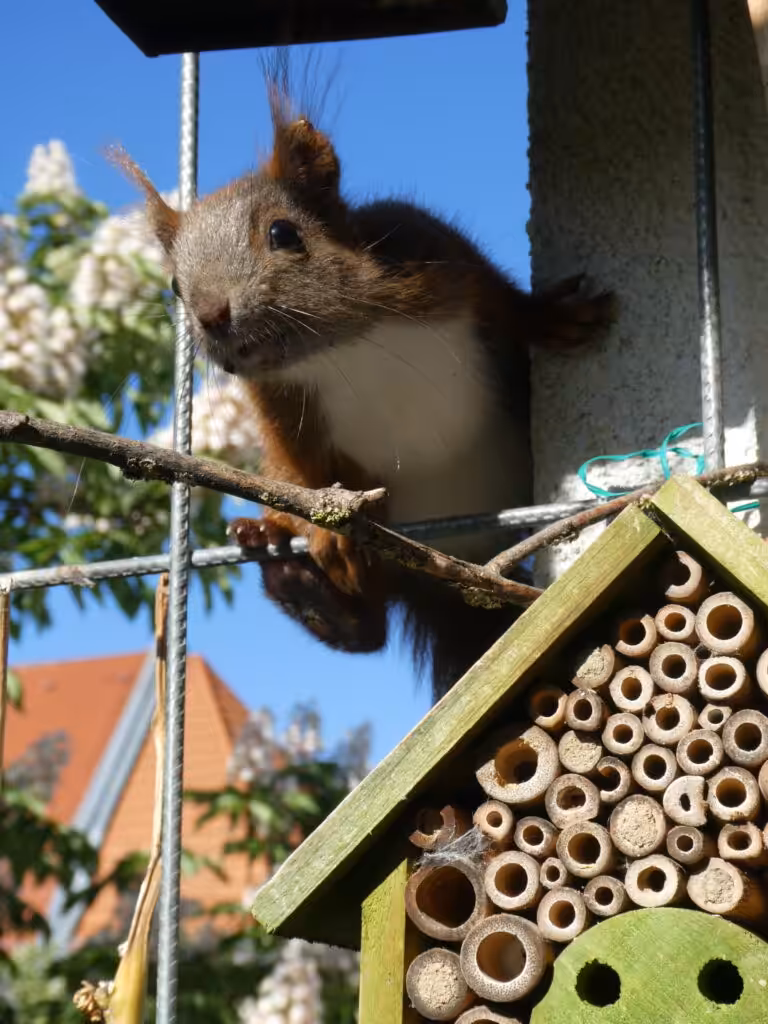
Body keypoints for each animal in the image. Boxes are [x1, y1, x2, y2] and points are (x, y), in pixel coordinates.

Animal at [116, 79, 612, 701]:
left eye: (283, 233)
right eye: (175, 286)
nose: (211, 316)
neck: (344, 346)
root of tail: (466, 567)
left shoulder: (439, 254)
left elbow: (504, 300)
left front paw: (550, 317)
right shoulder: (282, 411)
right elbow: (308, 471)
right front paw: (329, 536)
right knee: (368, 629)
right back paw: (292, 572)